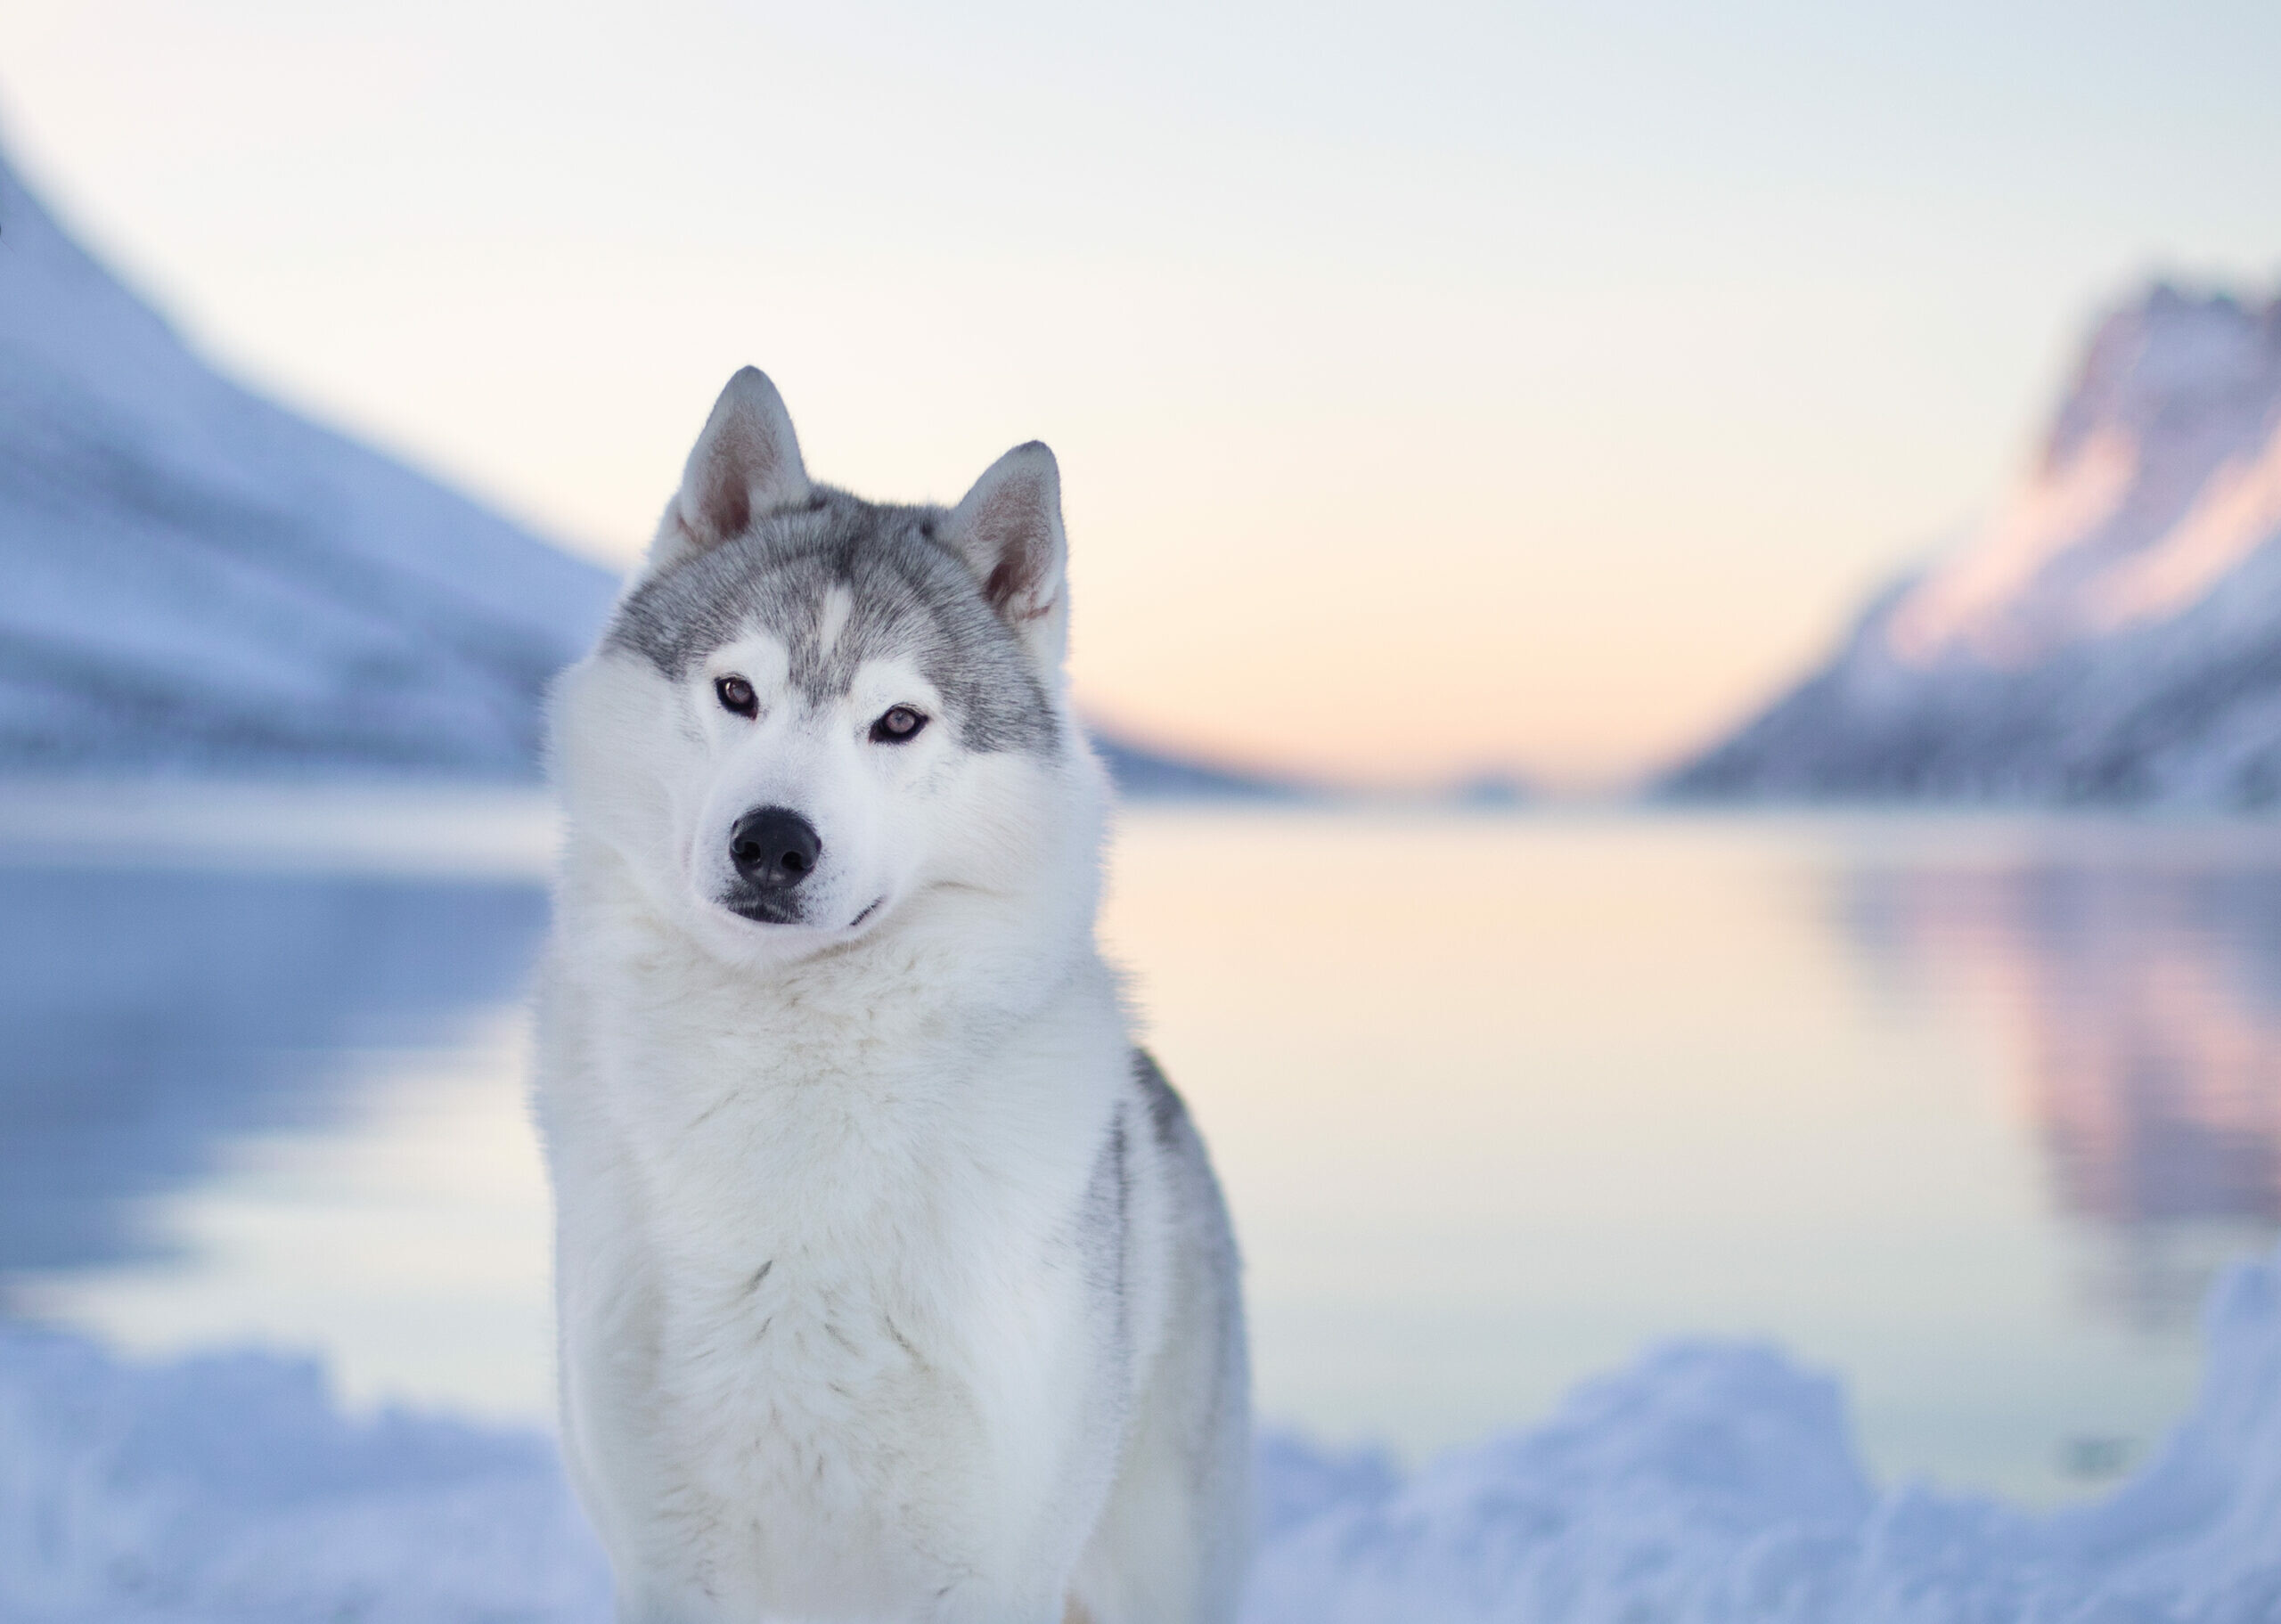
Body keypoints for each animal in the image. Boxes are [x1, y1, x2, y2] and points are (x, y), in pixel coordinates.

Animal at [534, 371, 1249, 1624]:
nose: (772, 841)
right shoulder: (668, 1558)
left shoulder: (983, 1563)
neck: (788, 1071)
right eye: (737, 691)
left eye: (899, 721)